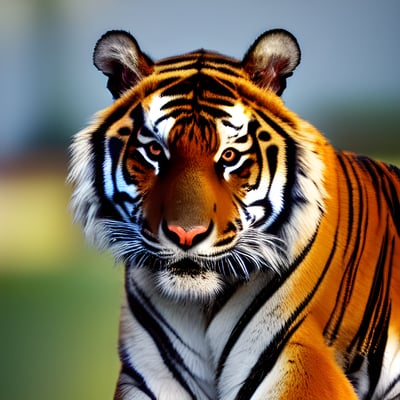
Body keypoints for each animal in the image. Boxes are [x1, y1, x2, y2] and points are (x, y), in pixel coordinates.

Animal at [69, 28, 400, 400]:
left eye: (228, 156)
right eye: (155, 150)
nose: (186, 235)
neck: (199, 306)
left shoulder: (299, 365)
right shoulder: (147, 379)